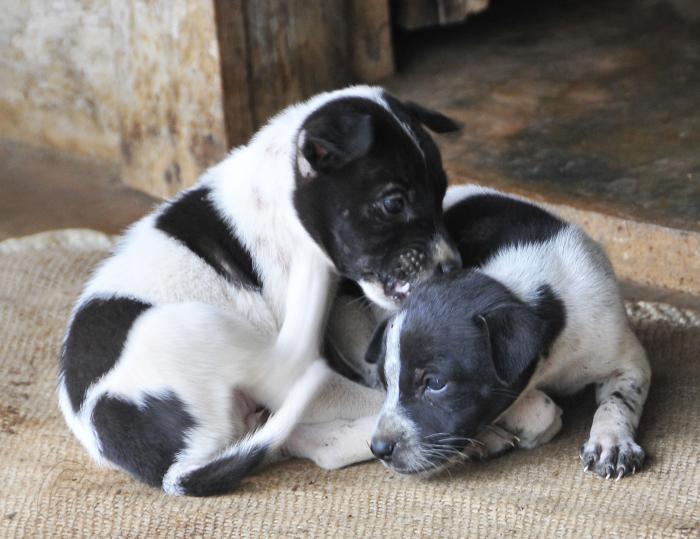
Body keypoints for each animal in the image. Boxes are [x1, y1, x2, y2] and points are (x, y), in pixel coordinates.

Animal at [366, 185, 652, 480]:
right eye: (386, 382)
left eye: (435, 383)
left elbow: (618, 402)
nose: (379, 448)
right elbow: (539, 410)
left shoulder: (626, 359)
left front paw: (612, 442)